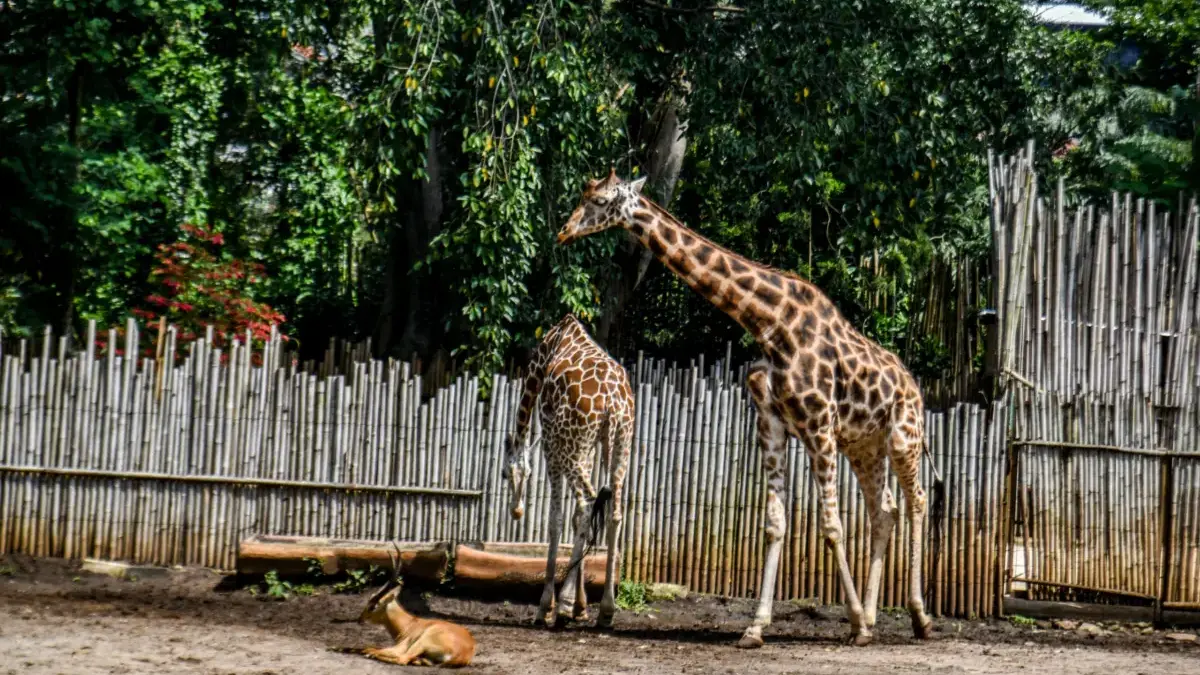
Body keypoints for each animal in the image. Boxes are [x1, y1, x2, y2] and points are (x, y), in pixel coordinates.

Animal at [502, 313, 635, 629]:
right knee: (613, 512)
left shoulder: (552, 440)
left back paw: (558, 605)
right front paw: (581, 607)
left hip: (573, 444)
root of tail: (613, 400)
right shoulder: (587, 447)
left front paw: (550, 607)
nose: (516, 511)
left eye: (505, 474)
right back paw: (606, 610)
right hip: (620, 442)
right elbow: (576, 520)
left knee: (587, 501)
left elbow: (557, 519)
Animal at [555, 169, 944, 647]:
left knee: (917, 499)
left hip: (903, 435)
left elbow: (831, 525)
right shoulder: (773, 424)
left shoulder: (819, 425)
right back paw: (875, 615)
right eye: (584, 193)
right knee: (884, 511)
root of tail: (913, 385)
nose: (564, 230)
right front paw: (757, 626)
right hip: (863, 446)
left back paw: (919, 617)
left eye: (601, 200)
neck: (768, 324)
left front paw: (854, 622)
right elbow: (775, 522)